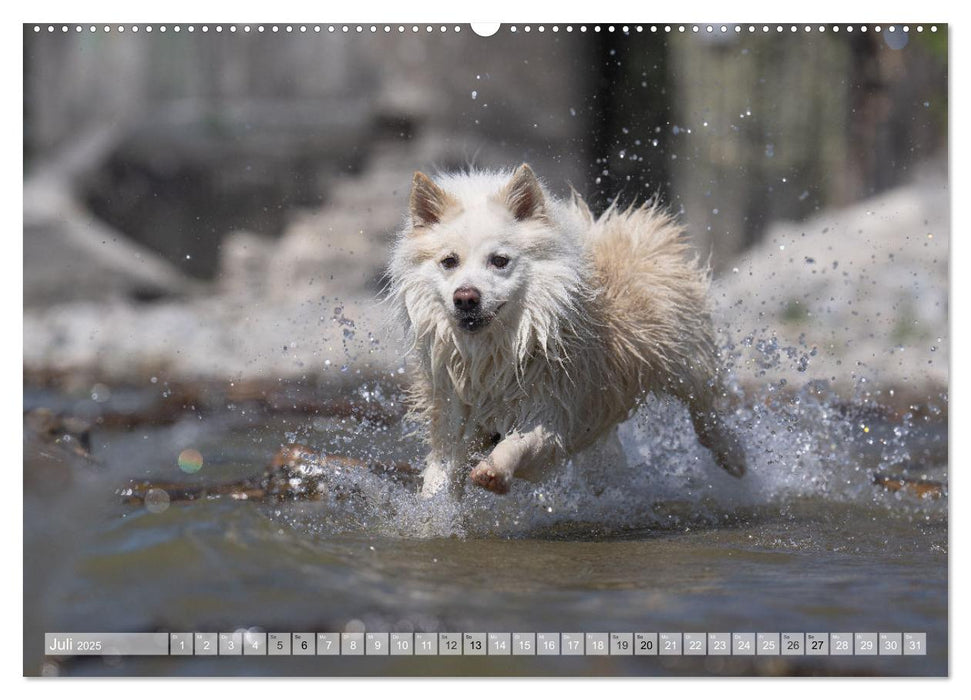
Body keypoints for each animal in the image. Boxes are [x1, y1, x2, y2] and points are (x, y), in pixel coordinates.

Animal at [388, 165, 744, 498]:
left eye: (499, 260)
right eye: (449, 261)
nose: (465, 297)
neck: (495, 352)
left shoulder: (552, 404)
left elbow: (520, 442)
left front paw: (494, 470)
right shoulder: (451, 412)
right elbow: (442, 472)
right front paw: (432, 507)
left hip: (680, 352)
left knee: (705, 408)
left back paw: (734, 457)